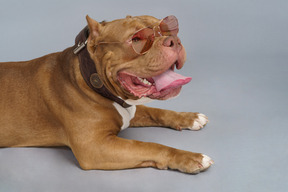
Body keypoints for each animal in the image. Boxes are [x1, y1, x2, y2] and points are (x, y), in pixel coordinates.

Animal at [0, 15, 214, 174]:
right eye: (137, 39)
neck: (91, 80)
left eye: (169, 30)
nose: (174, 40)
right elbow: (150, 146)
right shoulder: (96, 147)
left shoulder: (128, 110)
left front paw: (189, 117)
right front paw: (189, 157)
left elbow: (155, 111)